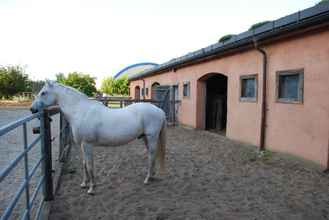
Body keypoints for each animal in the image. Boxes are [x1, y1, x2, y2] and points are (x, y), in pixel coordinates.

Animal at [30, 81, 167, 194]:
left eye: (43, 92)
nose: (32, 109)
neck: (81, 112)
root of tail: (160, 111)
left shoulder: (87, 144)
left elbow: (90, 165)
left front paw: (91, 188)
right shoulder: (82, 145)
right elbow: (84, 164)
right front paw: (84, 183)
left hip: (151, 137)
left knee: (151, 155)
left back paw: (147, 179)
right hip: (145, 138)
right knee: (152, 155)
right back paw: (152, 176)